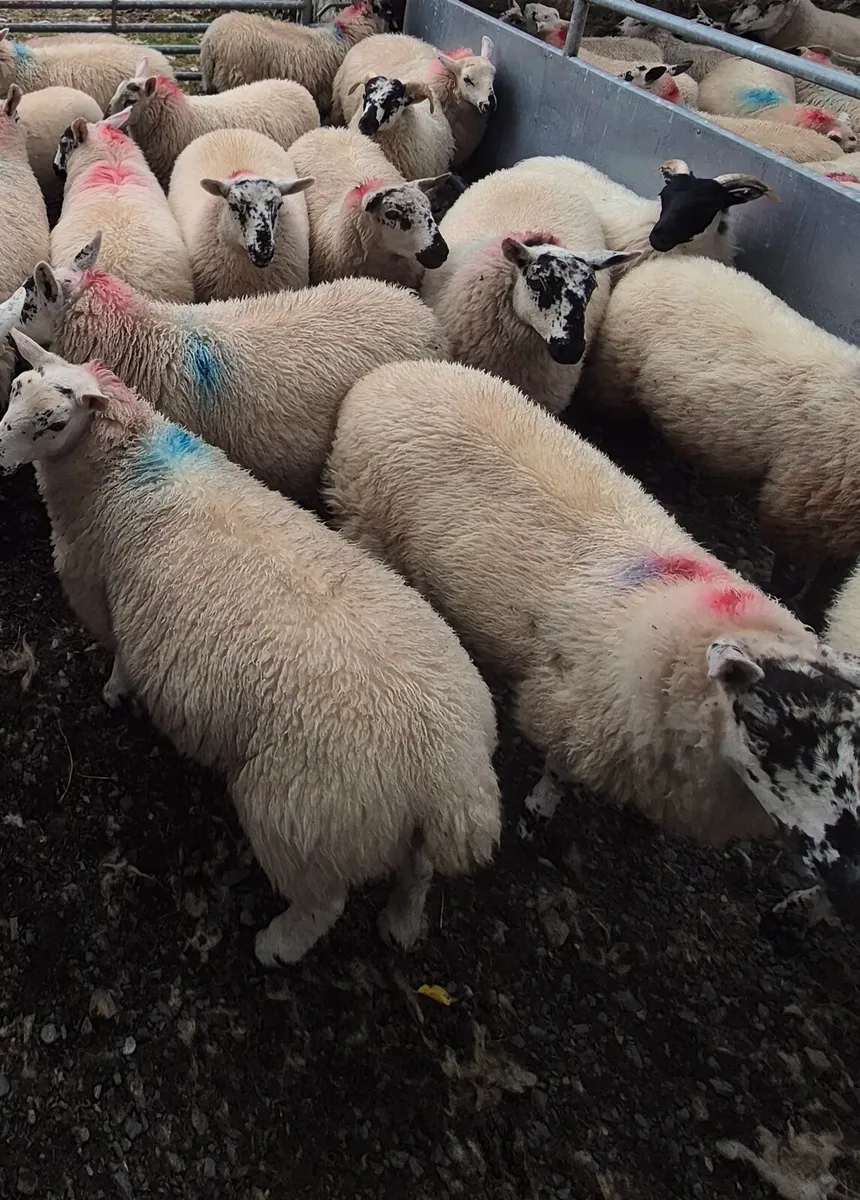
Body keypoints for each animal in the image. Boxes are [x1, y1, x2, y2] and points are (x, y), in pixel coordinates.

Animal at [0, 336, 501, 966]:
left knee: (323, 904)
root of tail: (451, 772)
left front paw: (117, 691)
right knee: (418, 871)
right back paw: (401, 925)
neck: (125, 469)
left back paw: (276, 945)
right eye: (16, 388)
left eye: (55, 421)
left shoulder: (98, 592)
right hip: (393, 825)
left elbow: (119, 656)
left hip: (299, 819)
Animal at [199, 1, 387, 116]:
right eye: (380, 9)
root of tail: (211, 39)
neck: (344, 36)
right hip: (233, 79)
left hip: (212, 81)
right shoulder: (326, 97)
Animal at [324, 357, 860, 912]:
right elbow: (560, 771)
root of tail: (393, 372)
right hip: (365, 522)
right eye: (762, 726)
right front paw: (537, 816)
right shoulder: (577, 714)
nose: (847, 875)